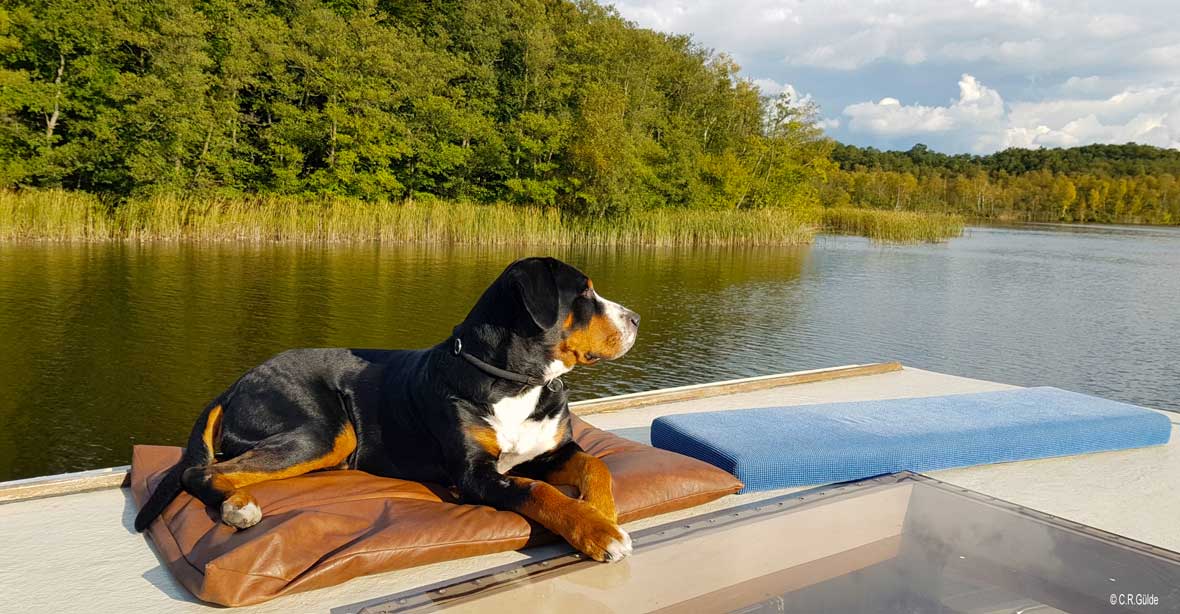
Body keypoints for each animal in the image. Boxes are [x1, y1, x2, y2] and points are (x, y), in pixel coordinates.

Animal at [133, 257, 641, 562]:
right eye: (583, 294)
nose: (635, 318)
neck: (518, 383)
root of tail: (237, 381)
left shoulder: (550, 450)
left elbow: (596, 465)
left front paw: (603, 514)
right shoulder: (475, 474)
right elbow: (540, 492)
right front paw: (599, 532)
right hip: (323, 432)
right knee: (201, 471)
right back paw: (238, 507)